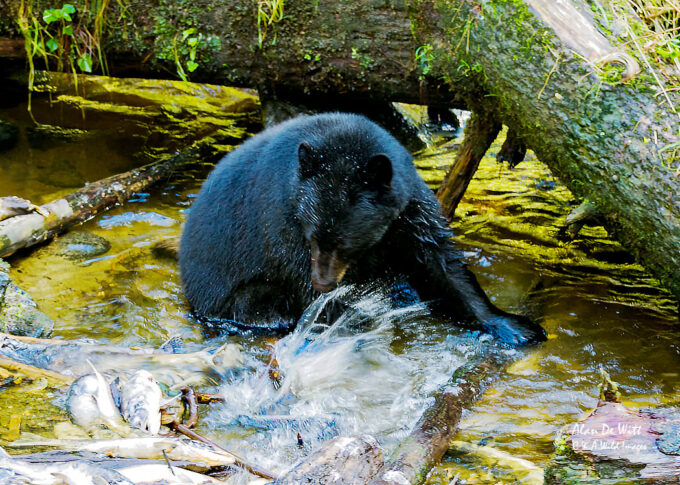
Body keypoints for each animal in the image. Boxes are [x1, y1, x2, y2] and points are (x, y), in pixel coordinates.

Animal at [179, 113, 546, 346]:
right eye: (313, 239)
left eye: (345, 244)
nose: (324, 283)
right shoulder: (281, 217)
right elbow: (300, 280)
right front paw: (345, 318)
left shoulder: (410, 211)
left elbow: (442, 265)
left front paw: (514, 326)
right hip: (235, 293)